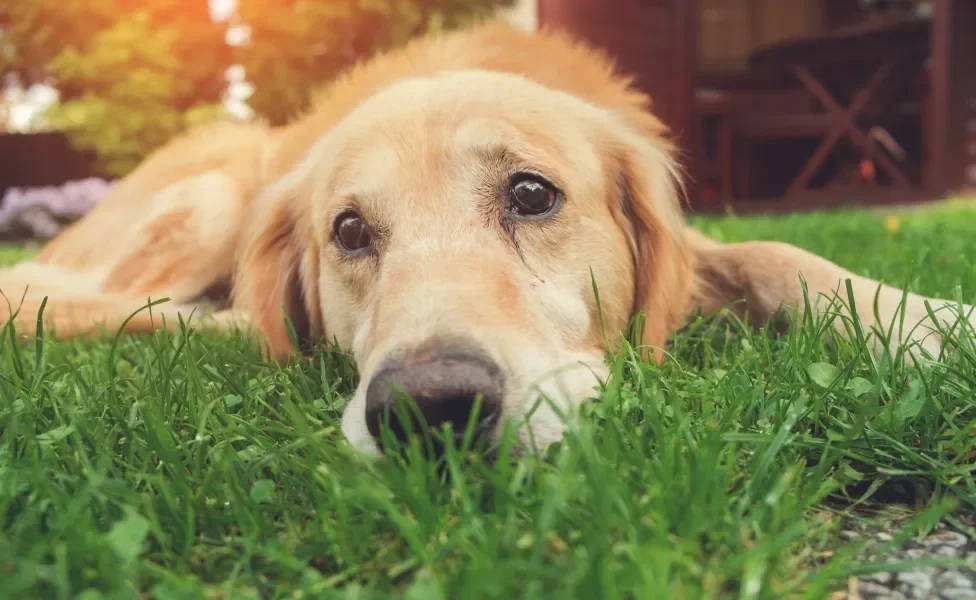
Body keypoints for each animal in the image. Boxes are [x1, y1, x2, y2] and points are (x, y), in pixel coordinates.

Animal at [1, 22, 976, 454]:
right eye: (349, 230)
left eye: (532, 194)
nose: (432, 410)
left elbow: (782, 256)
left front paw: (929, 322)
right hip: (210, 197)